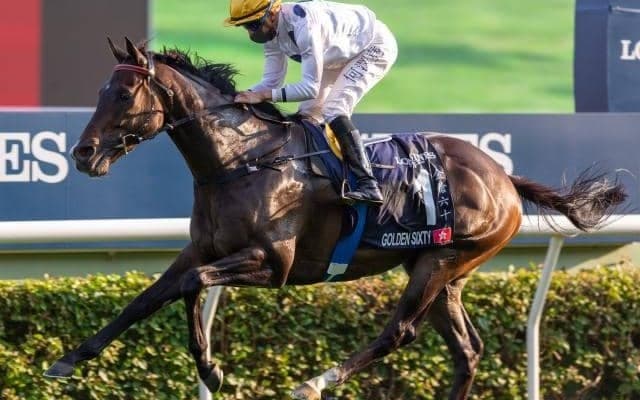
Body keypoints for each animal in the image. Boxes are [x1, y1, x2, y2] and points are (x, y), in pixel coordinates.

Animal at [44, 38, 626, 400]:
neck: (241, 160)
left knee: (399, 333)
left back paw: (316, 381)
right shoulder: (203, 249)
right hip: (442, 271)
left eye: (123, 93)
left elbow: (192, 285)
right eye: (100, 92)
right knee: (466, 351)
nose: (82, 153)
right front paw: (69, 358)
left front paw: (212, 367)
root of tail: (504, 177)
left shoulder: (273, 264)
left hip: (440, 261)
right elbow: (148, 297)